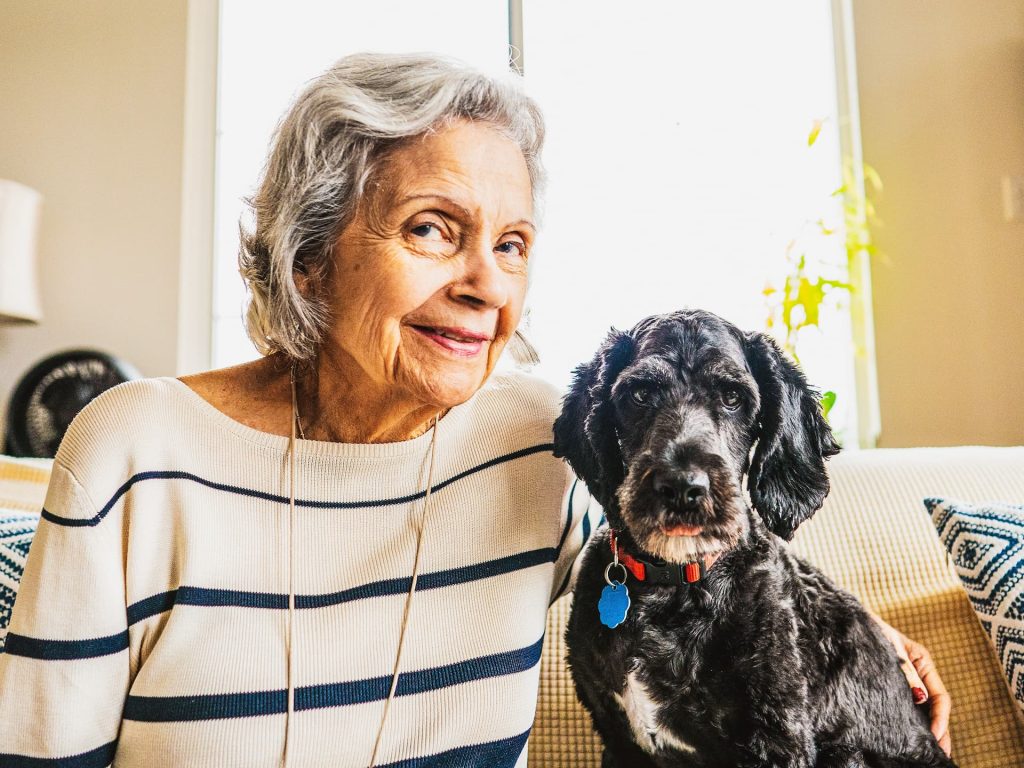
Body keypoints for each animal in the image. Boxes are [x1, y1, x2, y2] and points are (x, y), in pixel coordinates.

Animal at [552, 309, 950, 765]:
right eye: (639, 394)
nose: (683, 488)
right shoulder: (618, 738)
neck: (678, 586)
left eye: (732, 397)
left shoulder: (778, 739)